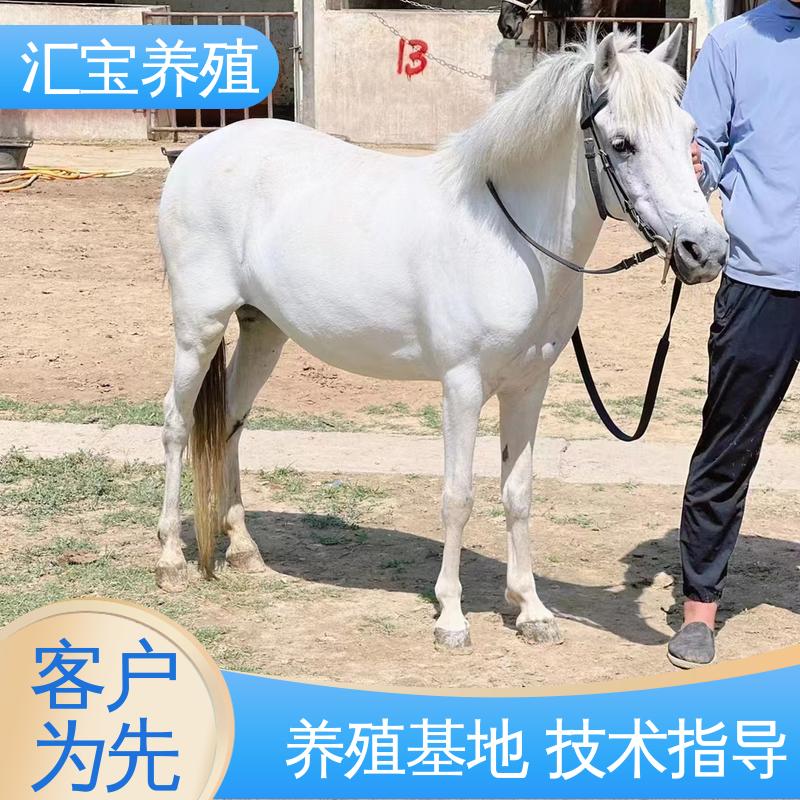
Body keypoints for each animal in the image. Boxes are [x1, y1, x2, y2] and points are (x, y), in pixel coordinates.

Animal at [156, 29, 727, 651]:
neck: (507, 240)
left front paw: (531, 610)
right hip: (198, 329)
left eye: (690, 135)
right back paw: (170, 560)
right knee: (178, 424)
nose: (706, 250)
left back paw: (243, 551)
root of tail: (200, 152)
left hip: (263, 331)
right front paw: (451, 617)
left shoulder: (528, 386)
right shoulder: (463, 386)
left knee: (231, 422)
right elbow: (458, 498)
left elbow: (518, 494)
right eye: (622, 144)